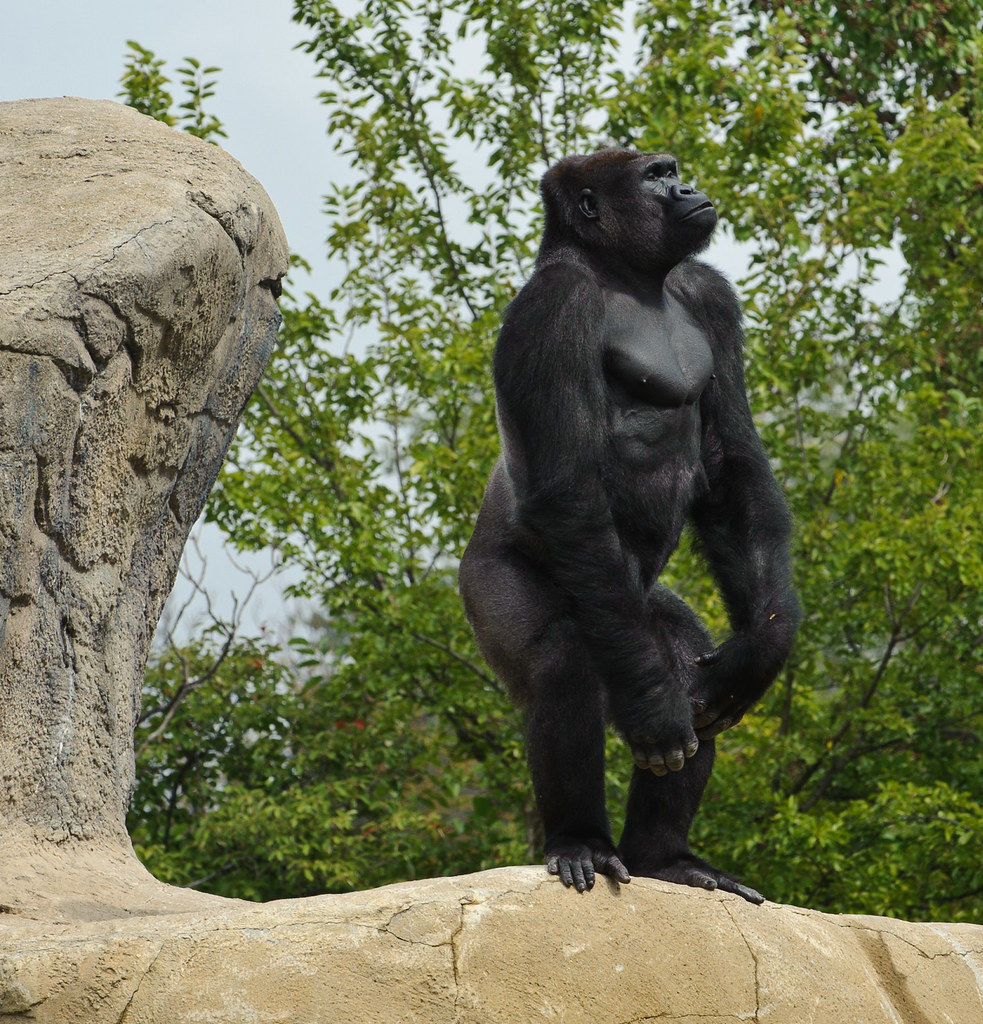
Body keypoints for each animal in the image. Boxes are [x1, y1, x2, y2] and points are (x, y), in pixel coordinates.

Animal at [458, 148, 798, 901]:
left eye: (672, 169)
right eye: (654, 176)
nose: (686, 187)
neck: (625, 274)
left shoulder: (709, 293)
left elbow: (733, 471)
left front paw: (763, 647)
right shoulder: (552, 312)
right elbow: (568, 493)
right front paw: (651, 706)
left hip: (638, 606)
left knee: (682, 665)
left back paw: (662, 855)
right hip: (493, 587)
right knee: (568, 657)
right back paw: (581, 838)